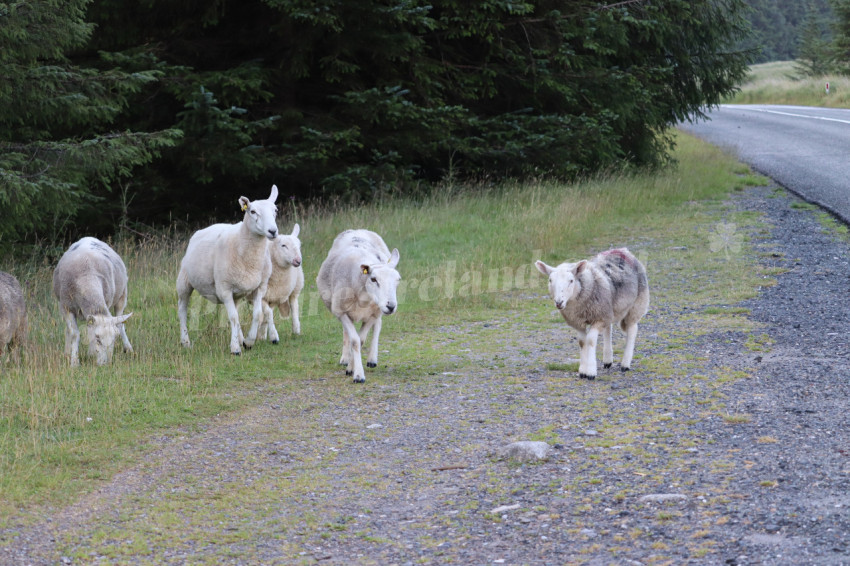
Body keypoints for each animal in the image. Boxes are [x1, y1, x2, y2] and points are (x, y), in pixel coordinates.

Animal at [52, 237, 133, 366]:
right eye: (98, 338)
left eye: (114, 338)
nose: (106, 364)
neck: (86, 279)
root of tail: (89, 238)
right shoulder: (66, 307)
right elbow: (74, 333)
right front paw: (74, 362)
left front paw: (89, 354)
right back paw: (67, 352)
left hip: (122, 295)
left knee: (120, 324)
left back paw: (128, 348)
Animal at [177, 185, 279, 354]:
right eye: (252, 211)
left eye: (275, 210)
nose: (273, 231)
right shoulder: (224, 289)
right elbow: (233, 318)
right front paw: (235, 348)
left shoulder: (260, 287)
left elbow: (256, 314)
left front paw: (248, 342)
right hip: (184, 282)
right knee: (182, 310)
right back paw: (185, 341)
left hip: (236, 292)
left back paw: (242, 338)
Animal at [316, 229, 401, 383]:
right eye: (373, 279)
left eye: (398, 279)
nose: (391, 306)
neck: (364, 297)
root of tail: (358, 230)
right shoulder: (341, 312)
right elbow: (354, 340)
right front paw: (357, 374)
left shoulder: (372, 314)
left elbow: (360, 340)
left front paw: (353, 368)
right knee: (346, 332)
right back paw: (345, 358)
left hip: (377, 310)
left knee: (378, 325)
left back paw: (372, 359)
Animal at [535, 248, 649, 380]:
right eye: (550, 280)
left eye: (571, 280)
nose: (559, 302)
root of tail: (623, 250)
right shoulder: (578, 321)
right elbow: (582, 342)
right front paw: (583, 371)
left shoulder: (599, 318)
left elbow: (590, 340)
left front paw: (590, 371)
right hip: (608, 308)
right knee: (608, 329)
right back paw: (608, 360)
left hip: (637, 304)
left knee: (632, 329)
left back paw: (625, 364)